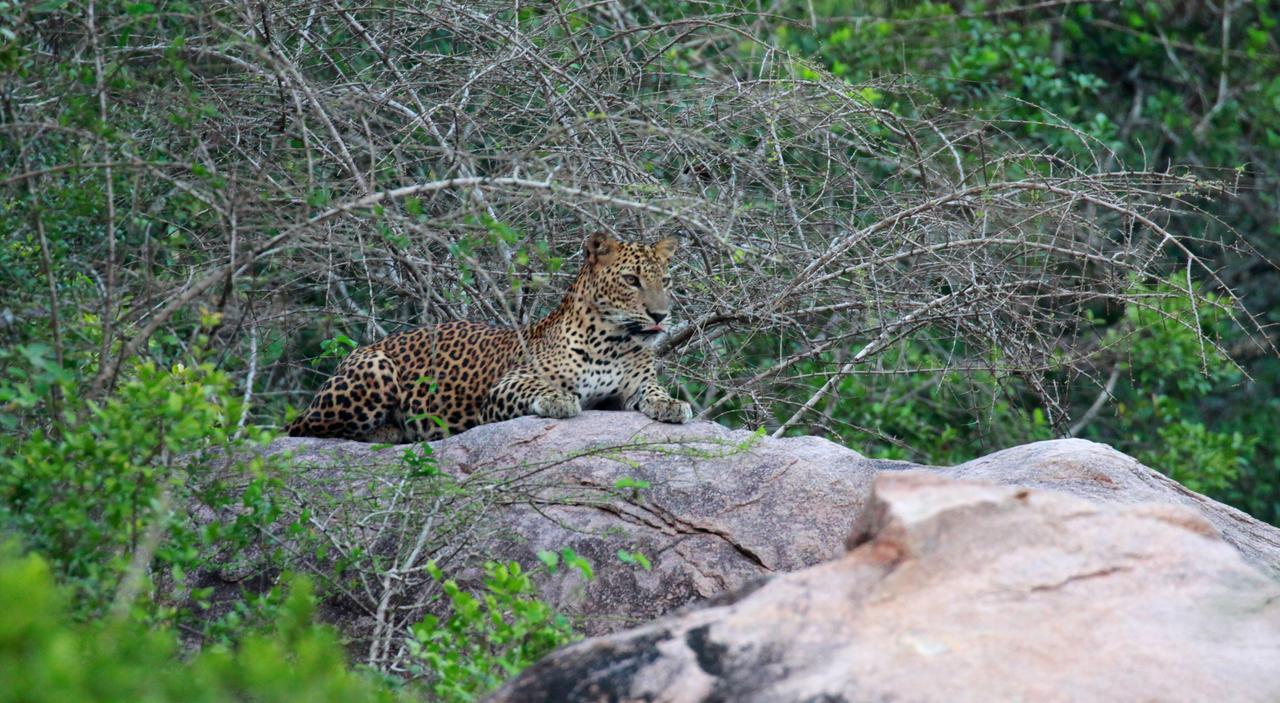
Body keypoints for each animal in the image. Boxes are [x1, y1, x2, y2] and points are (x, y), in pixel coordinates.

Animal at [286, 233, 696, 440]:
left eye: (666, 280)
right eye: (631, 280)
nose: (660, 316)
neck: (613, 341)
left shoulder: (631, 387)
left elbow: (653, 391)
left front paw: (672, 405)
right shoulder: (504, 388)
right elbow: (539, 387)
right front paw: (559, 400)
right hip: (375, 370)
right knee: (303, 429)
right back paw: (387, 433)